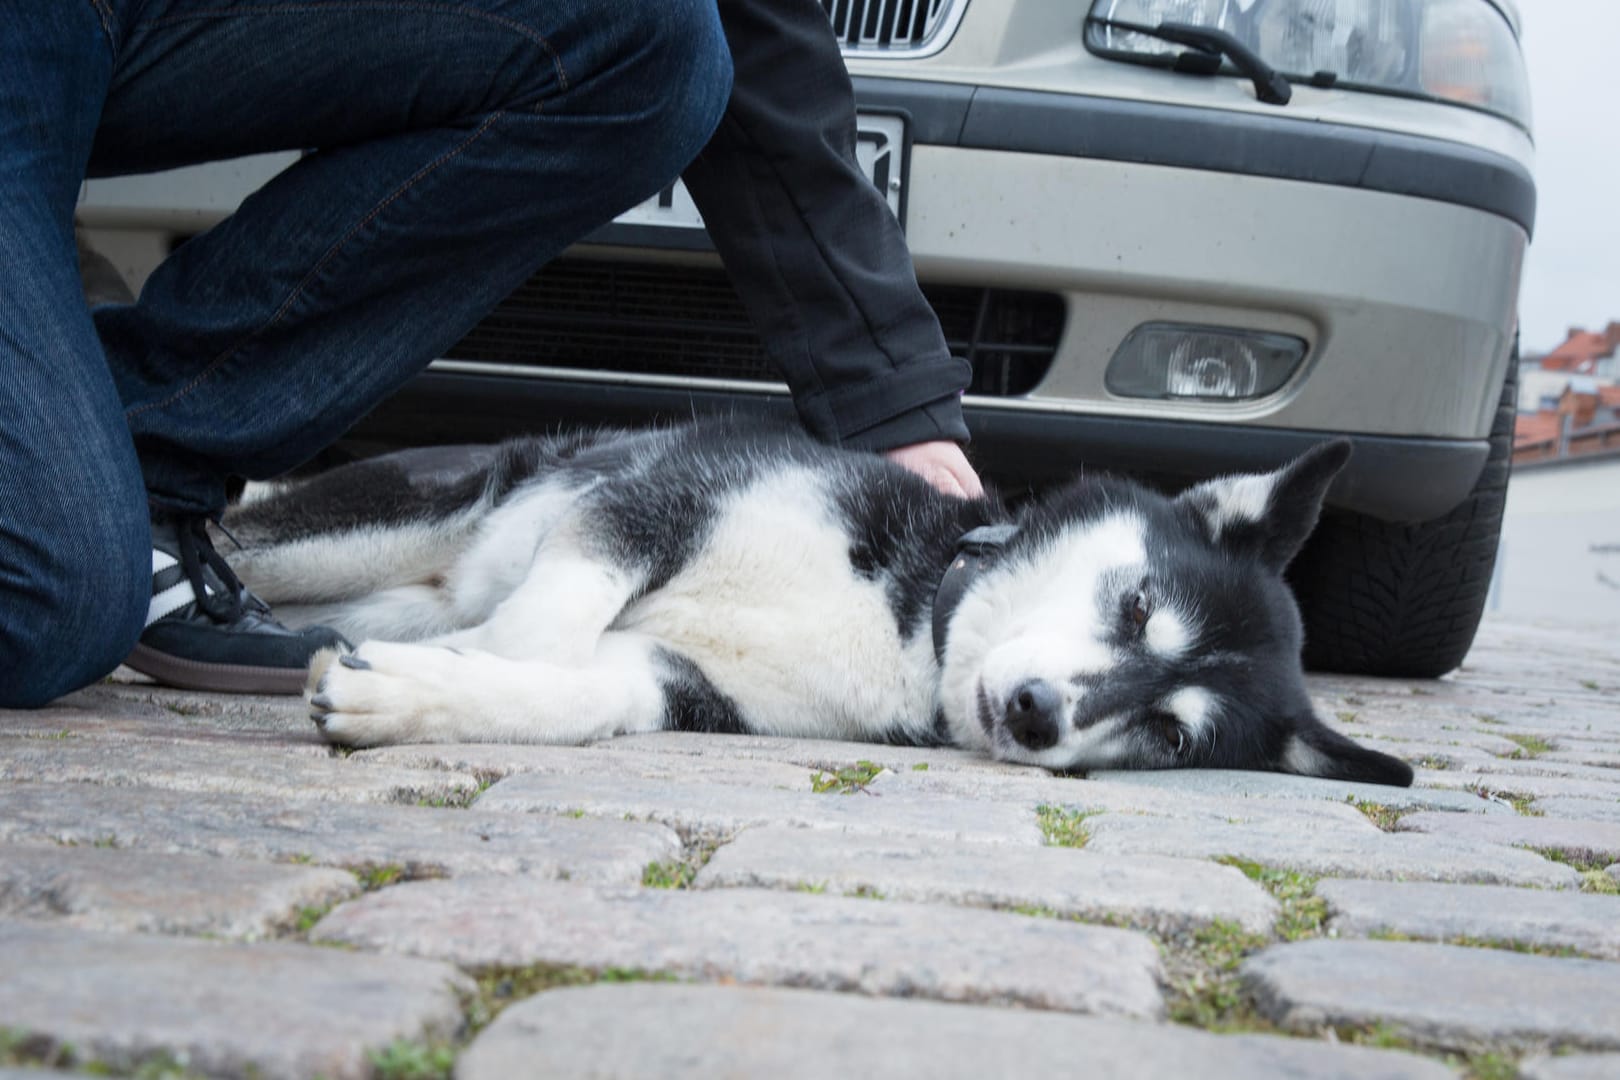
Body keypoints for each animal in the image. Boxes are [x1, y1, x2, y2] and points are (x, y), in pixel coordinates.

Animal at [221, 417, 1412, 790]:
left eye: (1170, 732)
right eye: (1136, 607)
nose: (1038, 715)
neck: (908, 623)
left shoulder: (674, 684)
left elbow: (569, 690)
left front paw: (421, 693)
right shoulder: (658, 501)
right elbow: (539, 627)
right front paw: (470, 658)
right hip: (408, 515)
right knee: (250, 538)